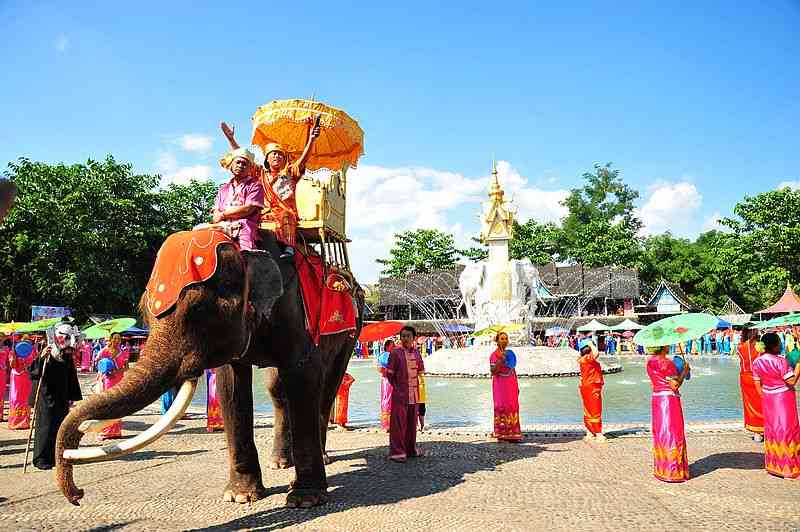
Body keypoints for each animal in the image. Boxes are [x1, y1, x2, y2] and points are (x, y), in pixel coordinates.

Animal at [56, 231, 366, 510]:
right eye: (144, 309)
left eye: (197, 310)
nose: (78, 495)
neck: (244, 250)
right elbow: (232, 386)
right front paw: (240, 496)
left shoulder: (296, 314)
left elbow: (303, 376)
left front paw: (305, 499)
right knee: (277, 391)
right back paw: (279, 463)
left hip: (352, 332)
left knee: (327, 385)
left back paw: (321, 458)